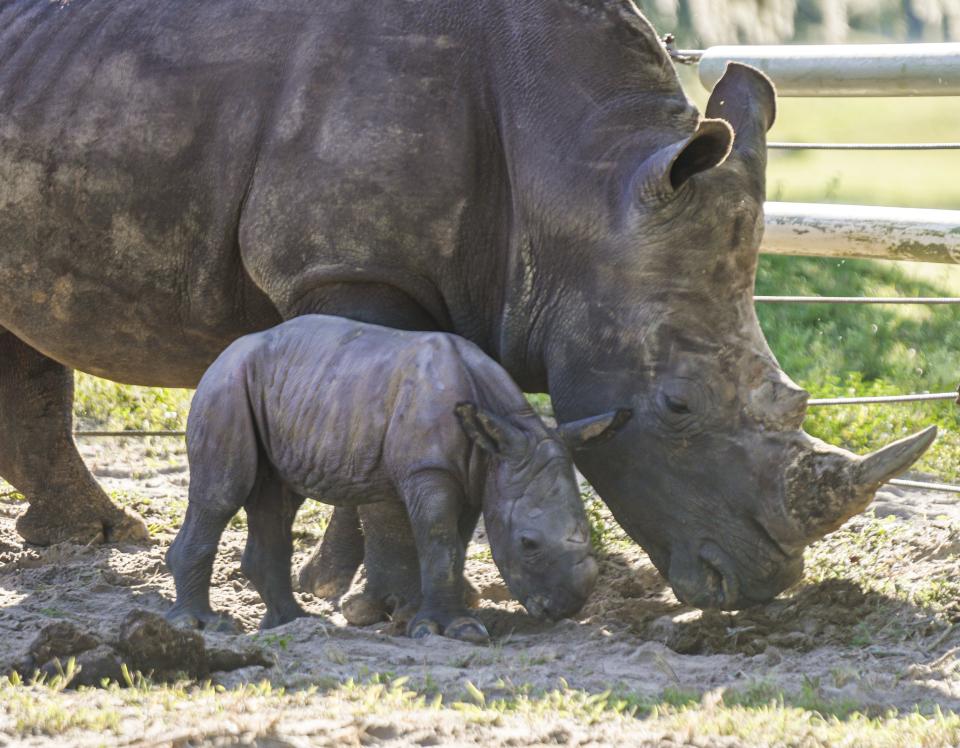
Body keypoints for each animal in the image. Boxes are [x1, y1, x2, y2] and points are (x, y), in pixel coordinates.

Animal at [165, 316, 632, 644]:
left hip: (294, 390)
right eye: (528, 544)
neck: (509, 430)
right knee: (222, 492)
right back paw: (202, 626)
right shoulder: (430, 470)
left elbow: (455, 545)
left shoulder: (480, 474)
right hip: (226, 385)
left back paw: (293, 623)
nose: (566, 608)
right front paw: (453, 631)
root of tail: (224, 353)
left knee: (277, 500)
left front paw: (427, 621)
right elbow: (439, 541)